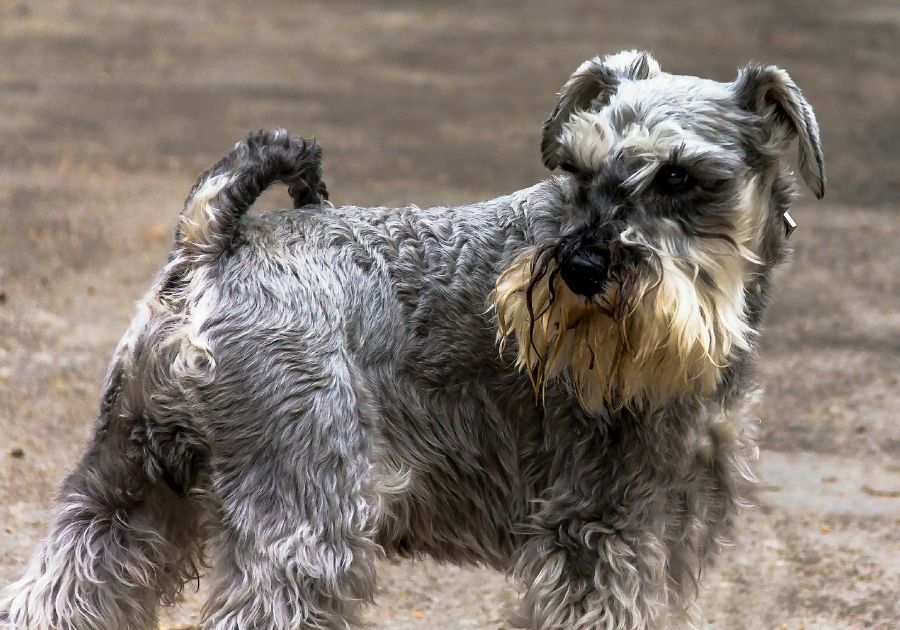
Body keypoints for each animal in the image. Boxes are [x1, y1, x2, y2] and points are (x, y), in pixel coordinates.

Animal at [1, 50, 824, 630]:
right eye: (575, 168)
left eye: (680, 178)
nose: (582, 268)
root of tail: (209, 245)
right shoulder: (599, 532)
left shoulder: (664, 532)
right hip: (306, 525)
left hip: (120, 489)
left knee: (54, 591)